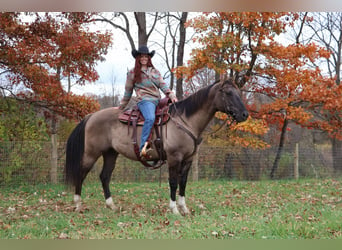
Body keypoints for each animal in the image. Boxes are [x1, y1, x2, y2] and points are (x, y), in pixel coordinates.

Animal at [65, 78, 248, 215]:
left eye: (238, 93)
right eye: (229, 93)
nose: (245, 114)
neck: (185, 121)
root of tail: (91, 116)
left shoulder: (188, 159)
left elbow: (183, 183)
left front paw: (184, 209)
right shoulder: (174, 158)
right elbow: (173, 182)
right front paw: (174, 210)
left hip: (110, 153)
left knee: (104, 176)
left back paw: (112, 206)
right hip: (91, 153)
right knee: (81, 174)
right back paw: (78, 205)